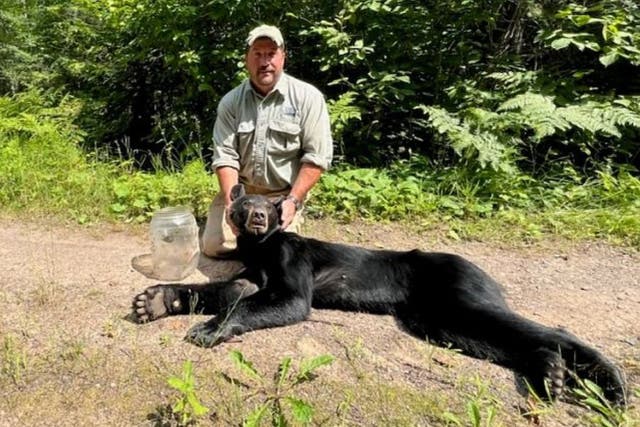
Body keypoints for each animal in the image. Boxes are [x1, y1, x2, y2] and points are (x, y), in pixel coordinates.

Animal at [132, 183, 626, 405]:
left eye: (267, 208)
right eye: (241, 205)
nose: (254, 217)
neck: (262, 248)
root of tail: (480, 268)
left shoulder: (291, 282)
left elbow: (255, 303)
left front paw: (207, 330)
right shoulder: (251, 277)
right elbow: (224, 290)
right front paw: (154, 300)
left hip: (459, 297)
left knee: (549, 330)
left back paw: (609, 384)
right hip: (440, 322)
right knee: (510, 340)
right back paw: (552, 376)